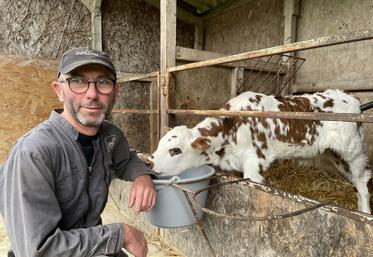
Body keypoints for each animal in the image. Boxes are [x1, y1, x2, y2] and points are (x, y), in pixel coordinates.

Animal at [149, 89, 372, 213]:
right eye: (160, 145)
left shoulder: (254, 163)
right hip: (333, 154)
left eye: (175, 150)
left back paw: (365, 211)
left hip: (352, 150)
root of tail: (351, 99)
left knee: (362, 180)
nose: (149, 162)